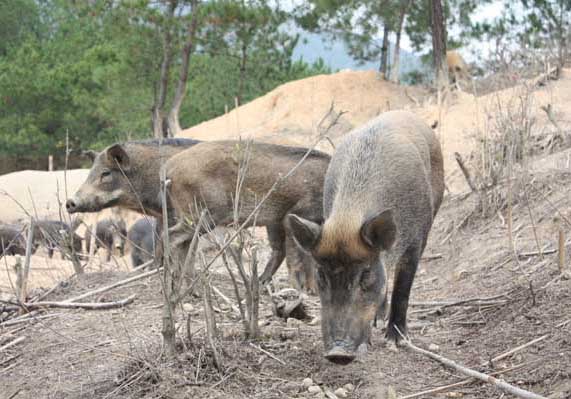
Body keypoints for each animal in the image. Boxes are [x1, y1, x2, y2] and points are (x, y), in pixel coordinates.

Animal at [288, 110, 444, 366]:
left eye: (365, 274)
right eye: (321, 274)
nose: (337, 353)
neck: (349, 217)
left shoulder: (414, 240)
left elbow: (403, 288)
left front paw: (396, 341)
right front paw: (368, 344)